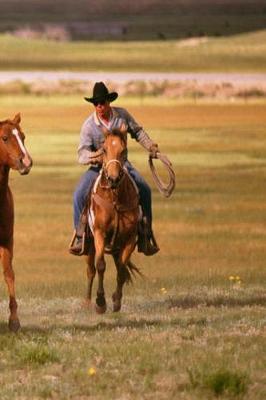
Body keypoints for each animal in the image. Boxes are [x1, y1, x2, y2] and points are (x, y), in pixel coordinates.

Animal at [87, 126, 141, 314]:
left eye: (123, 150)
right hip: (89, 244)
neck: (115, 198)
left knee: (119, 267)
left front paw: (116, 300)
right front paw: (100, 302)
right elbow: (100, 265)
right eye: (104, 150)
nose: (113, 178)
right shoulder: (99, 234)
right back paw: (86, 302)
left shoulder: (130, 238)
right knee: (90, 270)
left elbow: (122, 270)